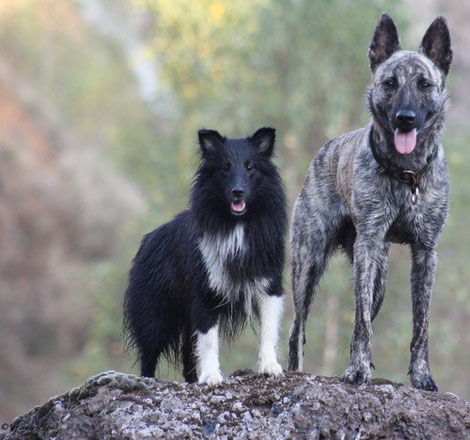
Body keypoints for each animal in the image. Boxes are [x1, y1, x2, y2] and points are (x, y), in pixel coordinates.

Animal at [124, 127, 286, 384]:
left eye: (250, 167)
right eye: (225, 167)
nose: (238, 192)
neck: (236, 225)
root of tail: (148, 239)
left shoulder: (268, 285)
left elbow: (268, 330)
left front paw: (270, 367)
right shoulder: (206, 291)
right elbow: (209, 340)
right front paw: (211, 377)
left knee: (187, 355)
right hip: (155, 313)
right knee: (149, 353)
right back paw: (148, 380)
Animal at [288, 14, 454, 392]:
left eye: (424, 84)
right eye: (390, 83)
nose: (405, 117)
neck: (406, 175)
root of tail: (325, 149)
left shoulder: (426, 252)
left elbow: (421, 326)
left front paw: (422, 375)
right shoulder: (369, 242)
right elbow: (361, 323)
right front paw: (358, 370)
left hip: (379, 278)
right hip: (308, 265)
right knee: (297, 329)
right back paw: (294, 373)